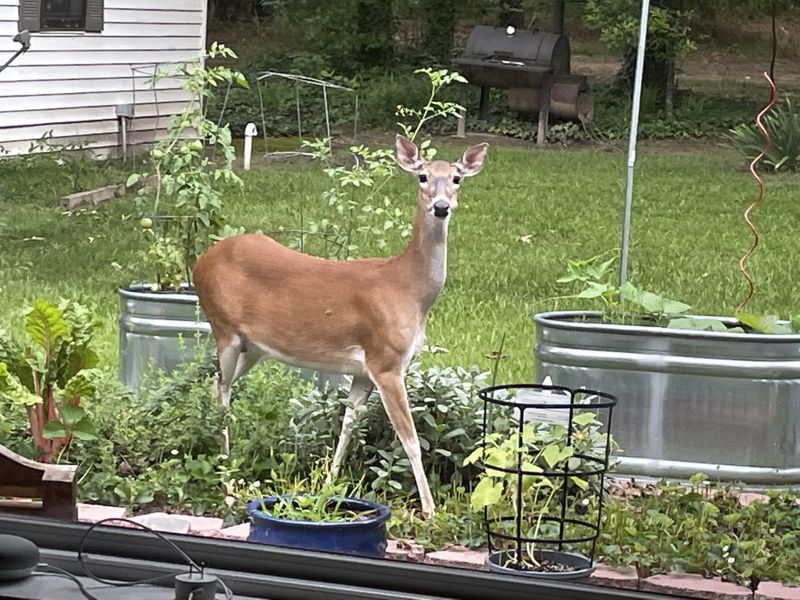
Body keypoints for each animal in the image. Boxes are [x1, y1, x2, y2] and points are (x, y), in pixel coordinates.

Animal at [192, 135, 488, 518]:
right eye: (422, 176)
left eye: (457, 178)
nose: (441, 207)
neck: (409, 289)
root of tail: (200, 261)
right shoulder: (386, 360)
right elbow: (410, 439)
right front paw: (429, 511)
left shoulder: (363, 371)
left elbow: (348, 425)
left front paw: (328, 487)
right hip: (223, 327)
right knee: (224, 389)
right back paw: (227, 479)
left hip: (253, 346)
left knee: (216, 383)